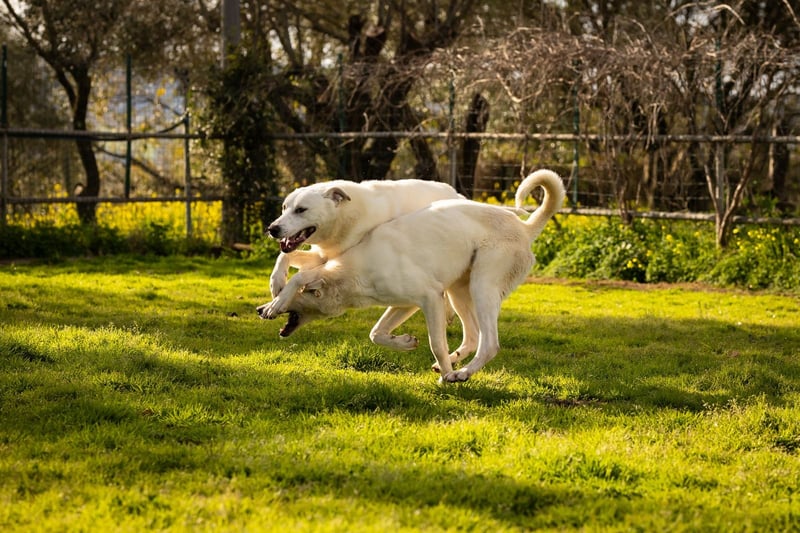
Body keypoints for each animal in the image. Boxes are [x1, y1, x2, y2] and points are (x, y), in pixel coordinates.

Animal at [258, 169, 565, 383]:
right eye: (284, 207)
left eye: (301, 210)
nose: (272, 229)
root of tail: (524, 227)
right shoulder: (403, 302)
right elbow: (376, 333)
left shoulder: (428, 297)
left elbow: (435, 342)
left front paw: (276, 301)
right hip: (459, 289)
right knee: (473, 336)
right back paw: (454, 361)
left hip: (481, 287)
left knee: (489, 343)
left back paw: (460, 373)